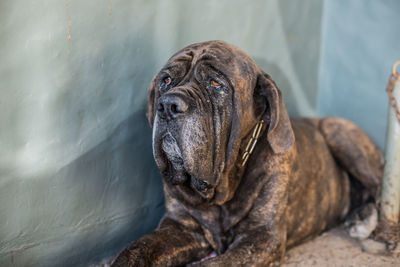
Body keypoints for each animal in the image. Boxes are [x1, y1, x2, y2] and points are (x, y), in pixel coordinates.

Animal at [111, 40, 382, 266]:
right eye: (166, 80)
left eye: (216, 84)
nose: (168, 105)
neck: (222, 191)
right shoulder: (181, 226)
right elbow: (137, 247)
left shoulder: (262, 237)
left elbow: (215, 264)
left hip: (338, 130)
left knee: (379, 188)